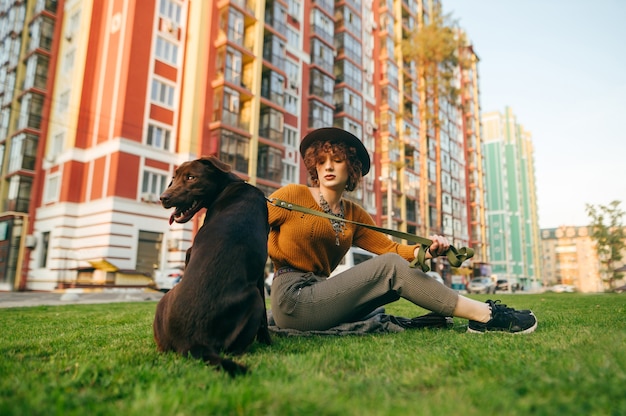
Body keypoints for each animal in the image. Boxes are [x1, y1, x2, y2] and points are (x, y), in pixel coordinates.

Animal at [154, 156, 270, 376]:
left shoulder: (190, 252)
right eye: (173, 179)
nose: (163, 198)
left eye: (191, 177)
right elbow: (265, 318)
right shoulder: (260, 274)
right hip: (255, 299)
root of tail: (193, 342)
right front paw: (268, 341)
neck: (228, 185)